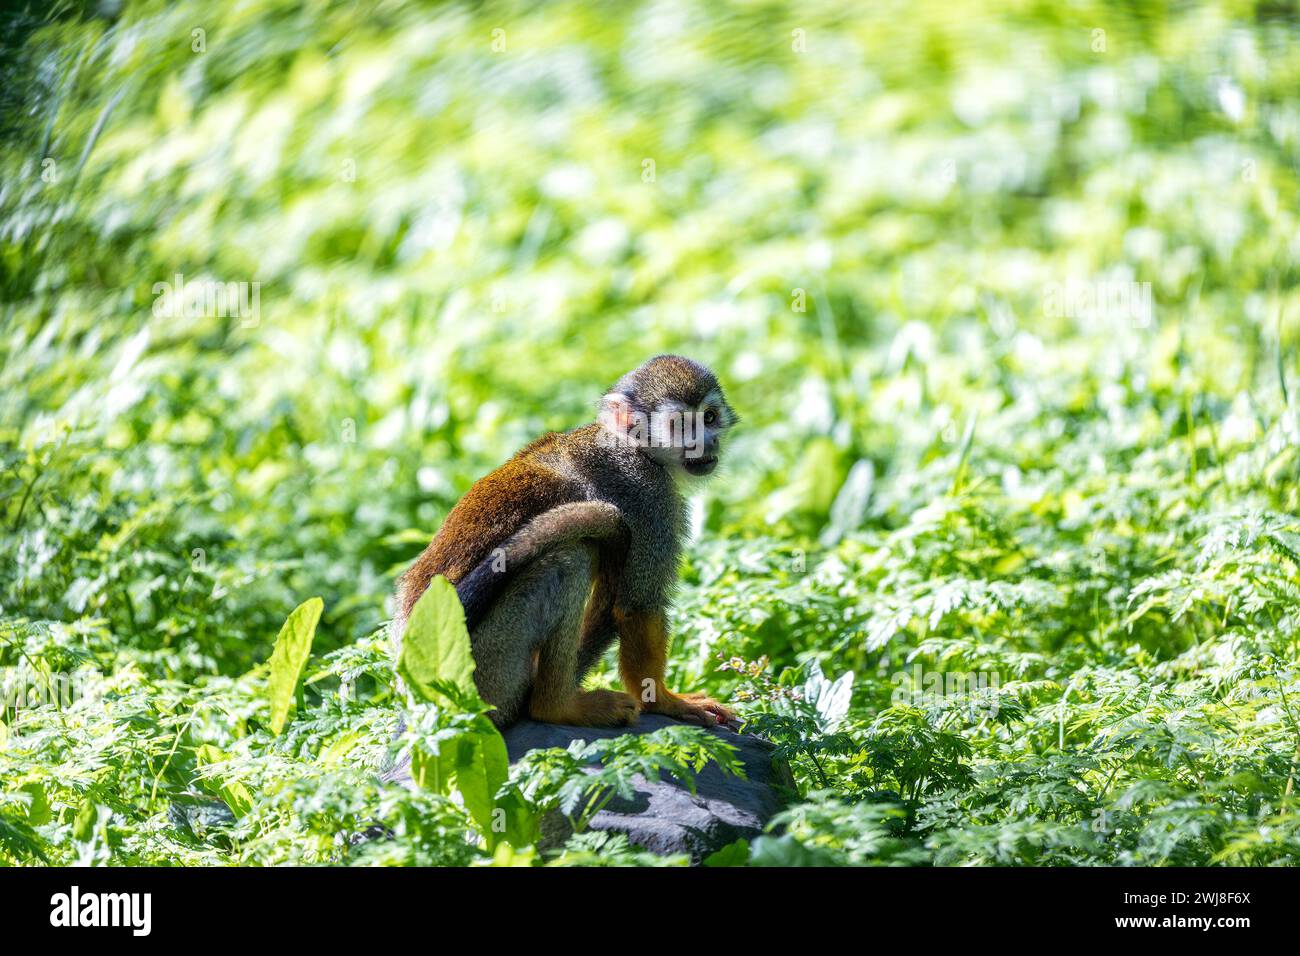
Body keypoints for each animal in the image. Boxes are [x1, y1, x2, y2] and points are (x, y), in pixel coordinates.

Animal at [392, 356, 743, 728]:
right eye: (680, 424)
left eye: (709, 417)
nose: (706, 442)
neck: (638, 449)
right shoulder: (648, 495)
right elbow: (638, 604)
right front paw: (663, 700)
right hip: (486, 672)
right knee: (571, 559)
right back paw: (557, 706)